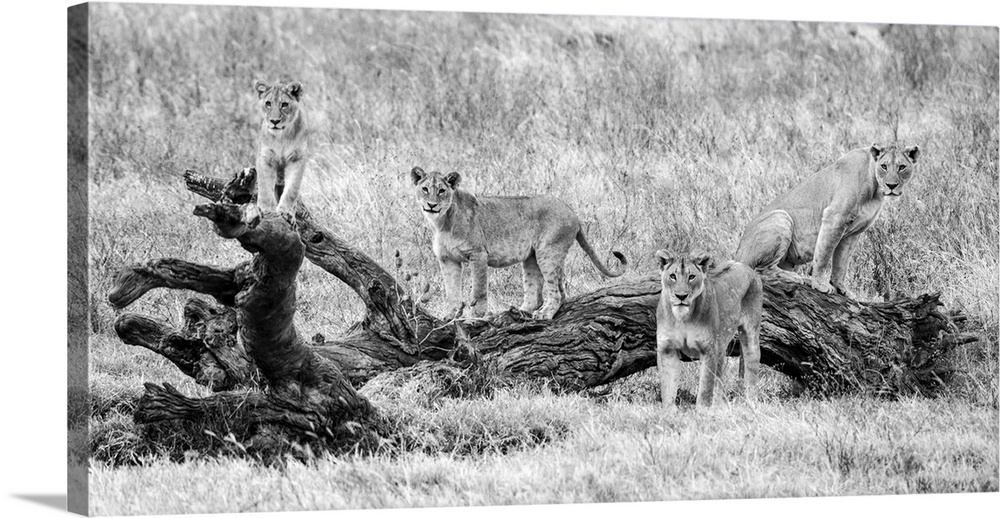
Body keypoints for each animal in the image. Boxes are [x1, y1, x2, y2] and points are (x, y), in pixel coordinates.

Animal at [254, 80, 308, 218]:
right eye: (268, 103)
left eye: (284, 104)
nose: (274, 121)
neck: (281, 137)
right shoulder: (265, 158)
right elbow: (265, 186)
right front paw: (267, 209)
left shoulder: (297, 159)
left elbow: (292, 189)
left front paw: (285, 211)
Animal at [408, 167, 624, 320]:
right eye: (425, 189)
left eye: (441, 191)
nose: (432, 205)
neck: (441, 223)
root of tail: (573, 213)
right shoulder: (447, 260)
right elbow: (451, 290)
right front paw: (449, 316)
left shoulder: (478, 254)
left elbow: (478, 290)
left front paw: (476, 317)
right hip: (531, 257)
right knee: (536, 294)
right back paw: (517, 312)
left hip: (548, 252)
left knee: (558, 293)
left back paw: (543, 315)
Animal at [652, 254, 760, 412]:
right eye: (672, 276)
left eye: (691, 276)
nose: (681, 296)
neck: (683, 318)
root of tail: (744, 266)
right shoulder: (667, 349)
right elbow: (668, 386)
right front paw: (668, 412)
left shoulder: (707, 349)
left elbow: (705, 387)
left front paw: (702, 412)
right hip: (720, 348)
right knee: (719, 379)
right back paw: (718, 408)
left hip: (750, 334)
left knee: (751, 369)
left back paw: (752, 405)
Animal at [736, 143, 920, 296]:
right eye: (884, 166)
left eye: (902, 167)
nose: (891, 186)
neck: (875, 190)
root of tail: (737, 255)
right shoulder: (834, 218)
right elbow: (823, 255)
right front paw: (820, 284)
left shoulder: (853, 233)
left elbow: (841, 263)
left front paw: (842, 289)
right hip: (781, 217)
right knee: (760, 271)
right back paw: (796, 278)